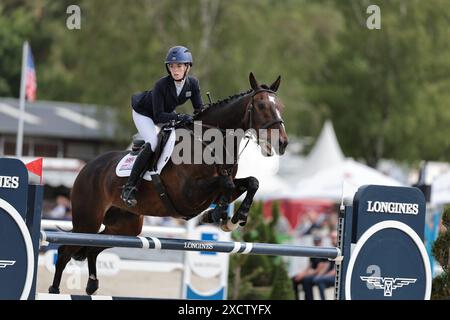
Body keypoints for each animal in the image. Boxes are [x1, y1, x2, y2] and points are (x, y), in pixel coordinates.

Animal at [48, 72, 288, 296]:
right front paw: (220, 215)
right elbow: (226, 184)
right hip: (88, 219)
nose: (282, 143)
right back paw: (54, 290)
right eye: (261, 105)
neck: (210, 144)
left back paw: (92, 285)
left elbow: (251, 183)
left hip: (125, 226)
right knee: (65, 251)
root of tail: (86, 168)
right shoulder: (188, 194)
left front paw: (233, 218)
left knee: (93, 247)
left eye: (281, 106)